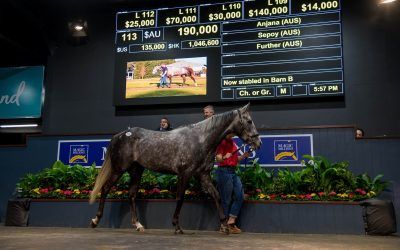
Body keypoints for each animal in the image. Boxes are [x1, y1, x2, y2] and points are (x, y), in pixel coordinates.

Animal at [89, 103, 260, 232]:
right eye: (249, 121)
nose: (258, 143)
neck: (200, 139)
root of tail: (120, 135)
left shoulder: (203, 175)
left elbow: (216, 196)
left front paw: (224, 226)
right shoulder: (185, 174)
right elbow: (180, 197)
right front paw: (177, 226)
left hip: (136, 170)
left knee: (131, 195)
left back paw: (138, 225)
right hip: (119, 169)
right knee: (105, 189)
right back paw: (95, 220)